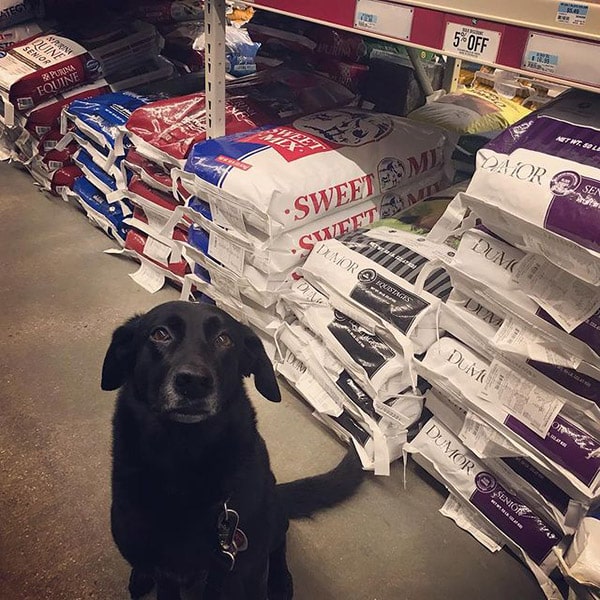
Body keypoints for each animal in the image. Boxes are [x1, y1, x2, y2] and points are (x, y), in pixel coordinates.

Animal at [101, 302, 364, 600]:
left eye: (224, 339)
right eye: (160, 334)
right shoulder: (166, 570)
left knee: (279, 540)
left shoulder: (246, 570)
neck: (184, 456)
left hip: (271, 516)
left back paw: (281, 580)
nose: (193, 382)